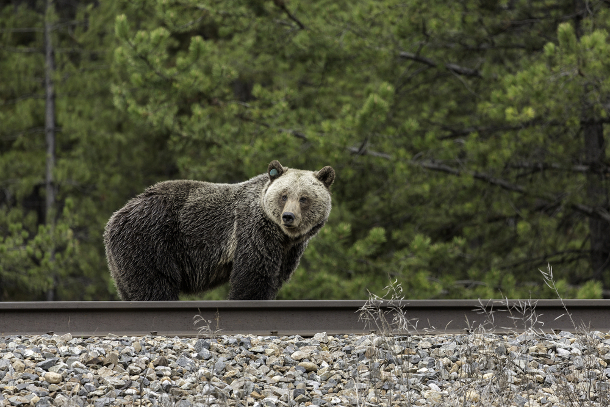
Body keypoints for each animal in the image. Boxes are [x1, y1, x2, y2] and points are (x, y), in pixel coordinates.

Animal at [103, 161, 332, 302]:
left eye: (304, 198)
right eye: (284, 195)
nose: (288, 217)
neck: (282, 235)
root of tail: (115, 217)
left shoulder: (289, 250)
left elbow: (275, 277)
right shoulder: (252, 230)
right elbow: (252, 275)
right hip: (150, 240)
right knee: (155, 285)